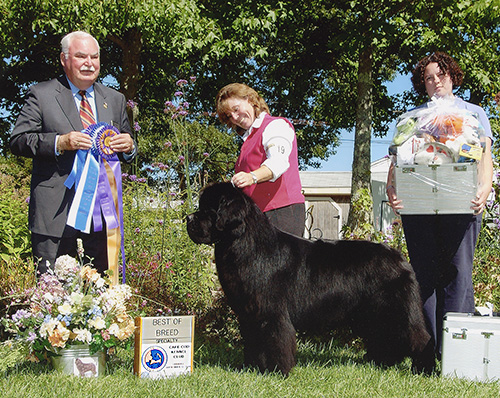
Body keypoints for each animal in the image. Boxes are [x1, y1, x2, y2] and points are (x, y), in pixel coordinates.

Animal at [186, 182, 432, 374]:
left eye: (208, 210)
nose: (187, 217)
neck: (246, 245)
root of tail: (399, 256)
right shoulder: (249, 314)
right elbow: (253, 342)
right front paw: (250, 368)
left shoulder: (271, 312)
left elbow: (275, 341)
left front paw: (276, 371)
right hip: (372, 315)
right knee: (385, 337)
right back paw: (382, 363)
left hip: (395, 310)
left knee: (418, 337)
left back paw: (423, 369)